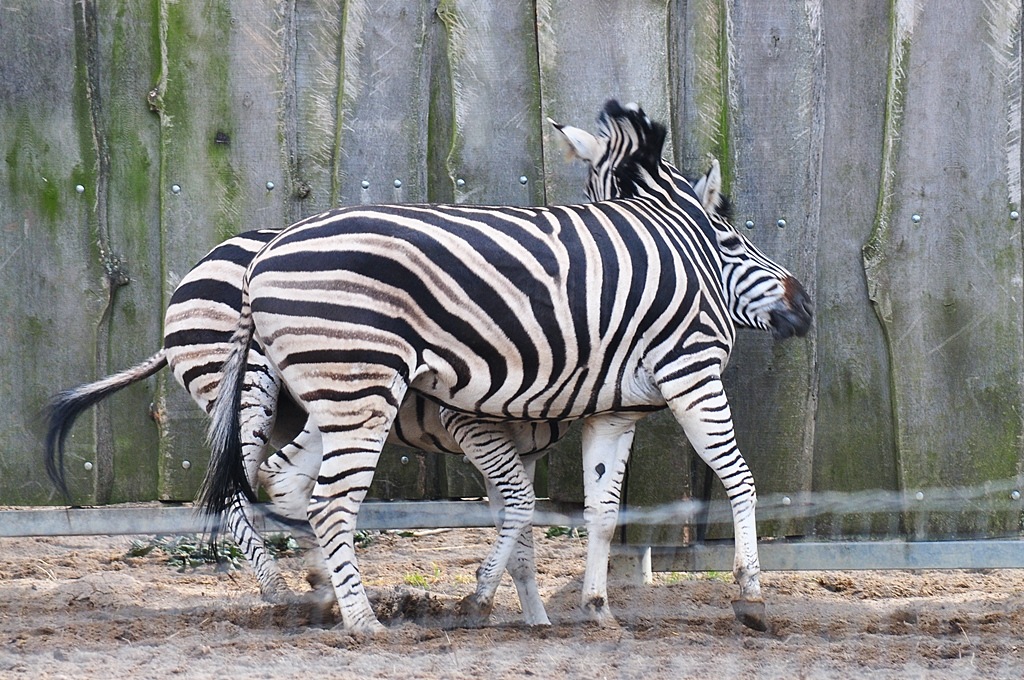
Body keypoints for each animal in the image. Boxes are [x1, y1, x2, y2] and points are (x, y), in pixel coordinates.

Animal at [202, 99, 812, 635]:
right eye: (728, 238)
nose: (804, 305)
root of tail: (264, 253)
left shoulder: (613, 412)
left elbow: (600, 511)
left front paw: (594, 610)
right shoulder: (691, 371)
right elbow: (738, 477)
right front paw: (751, 598)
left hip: (338, 392)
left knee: (287, 480)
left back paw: (323, 595)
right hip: (357, 388)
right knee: (328, 503)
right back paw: (362, 621)